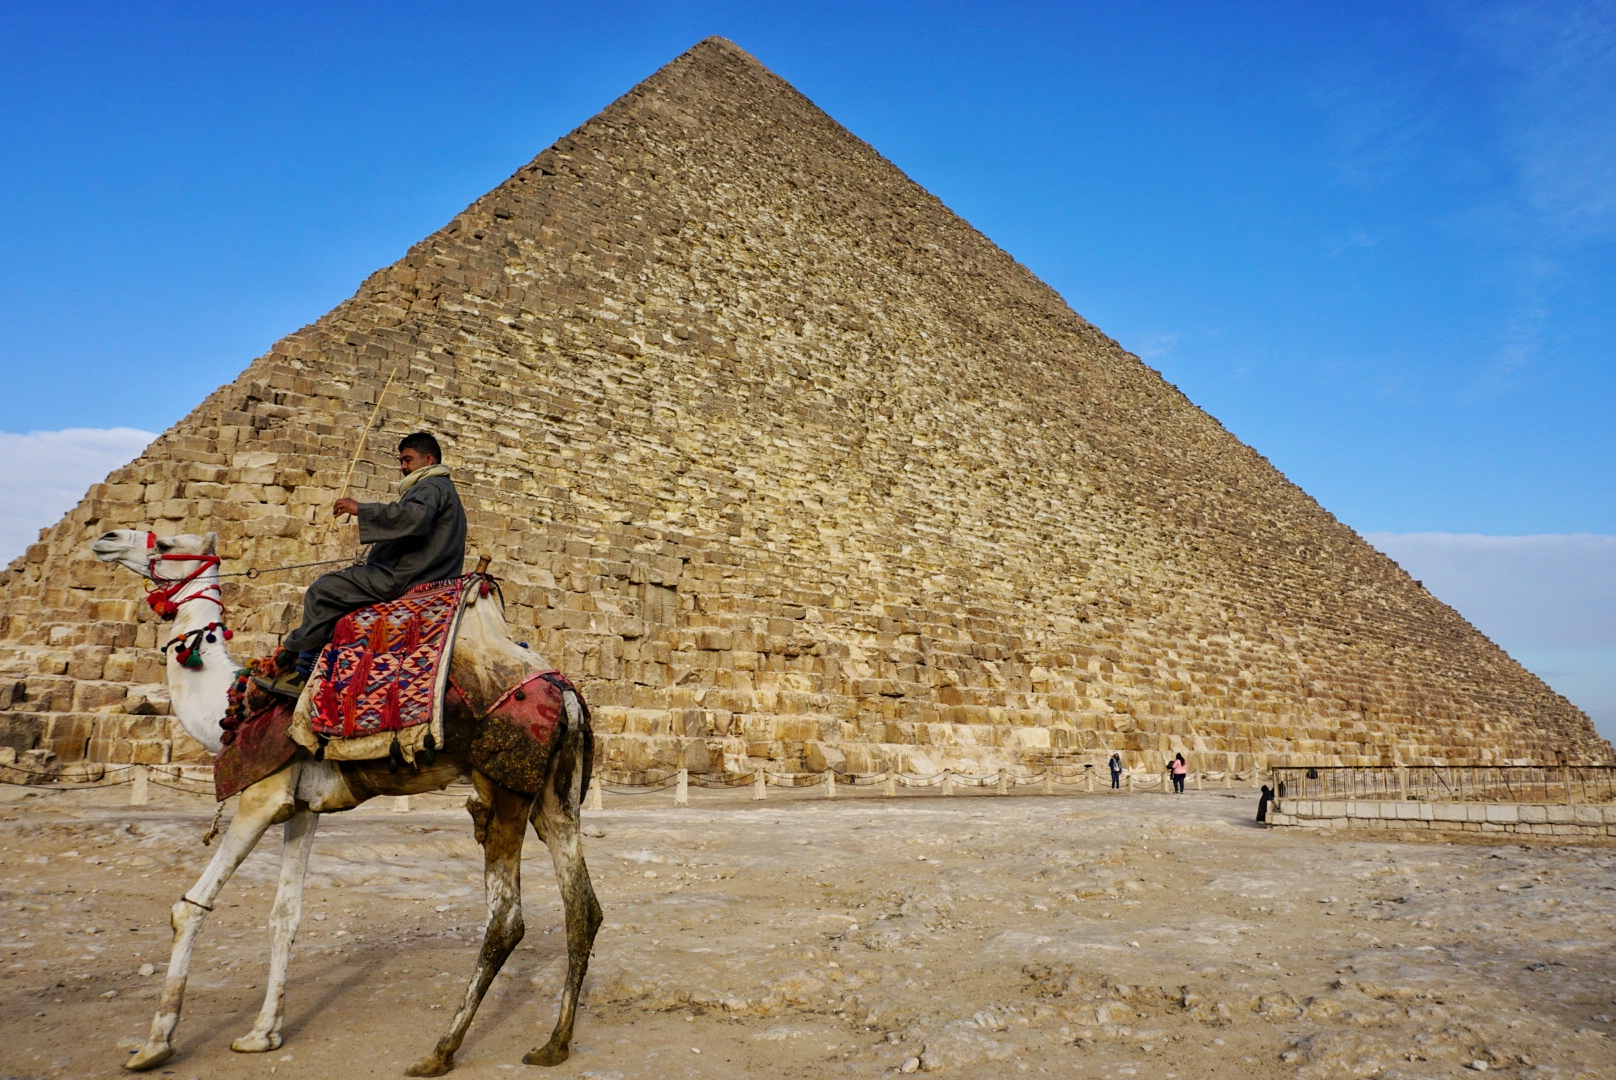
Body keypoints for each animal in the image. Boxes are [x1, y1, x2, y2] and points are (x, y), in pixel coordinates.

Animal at [90, 529, 602, 1076]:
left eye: (164, 543)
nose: (107, 538)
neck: (230, 703)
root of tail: (567, 697)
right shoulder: (302, 808)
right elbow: (285, 915)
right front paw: (262, 1033)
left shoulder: (260, 796)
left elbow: (190, 908)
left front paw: (154, 1045)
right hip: (554, 798)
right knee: (582, 908)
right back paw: (555, 1043)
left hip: (505, 788)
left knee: (506, 920)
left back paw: (440, 1050)